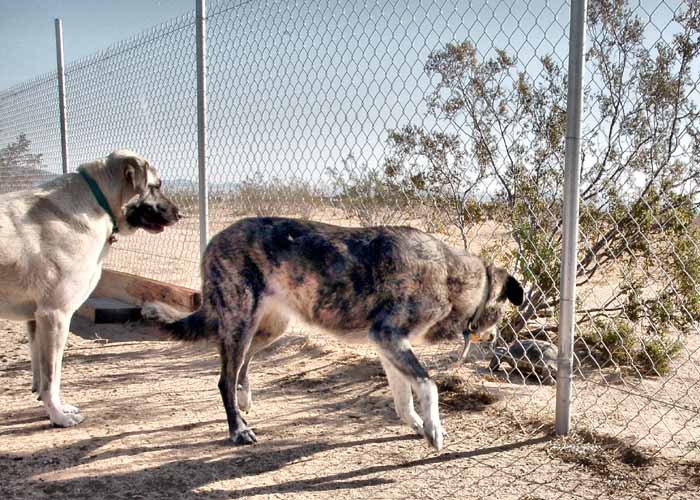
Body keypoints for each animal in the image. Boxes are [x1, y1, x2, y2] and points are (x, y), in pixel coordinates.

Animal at [1, 148, 180, 426]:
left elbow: (42, 376)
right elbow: (52, 378)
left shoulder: (36, 320)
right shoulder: (54, 316)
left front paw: (55, 408)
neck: (98, 202)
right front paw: (58, 416)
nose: (179, 213)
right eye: (156, 185)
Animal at [144, 217, 524, 452]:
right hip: (240, 320)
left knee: (242, 365)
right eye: (502, 311)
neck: (451, 275)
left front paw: (416, 424)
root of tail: (213, 241)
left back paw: (244, 398)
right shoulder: (388, 336)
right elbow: (427, 383)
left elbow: (403, 397)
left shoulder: (386, 345)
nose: (495, 339)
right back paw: (238, 429)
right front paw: (434, 430)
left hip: (268, 327)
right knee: (224, 377)